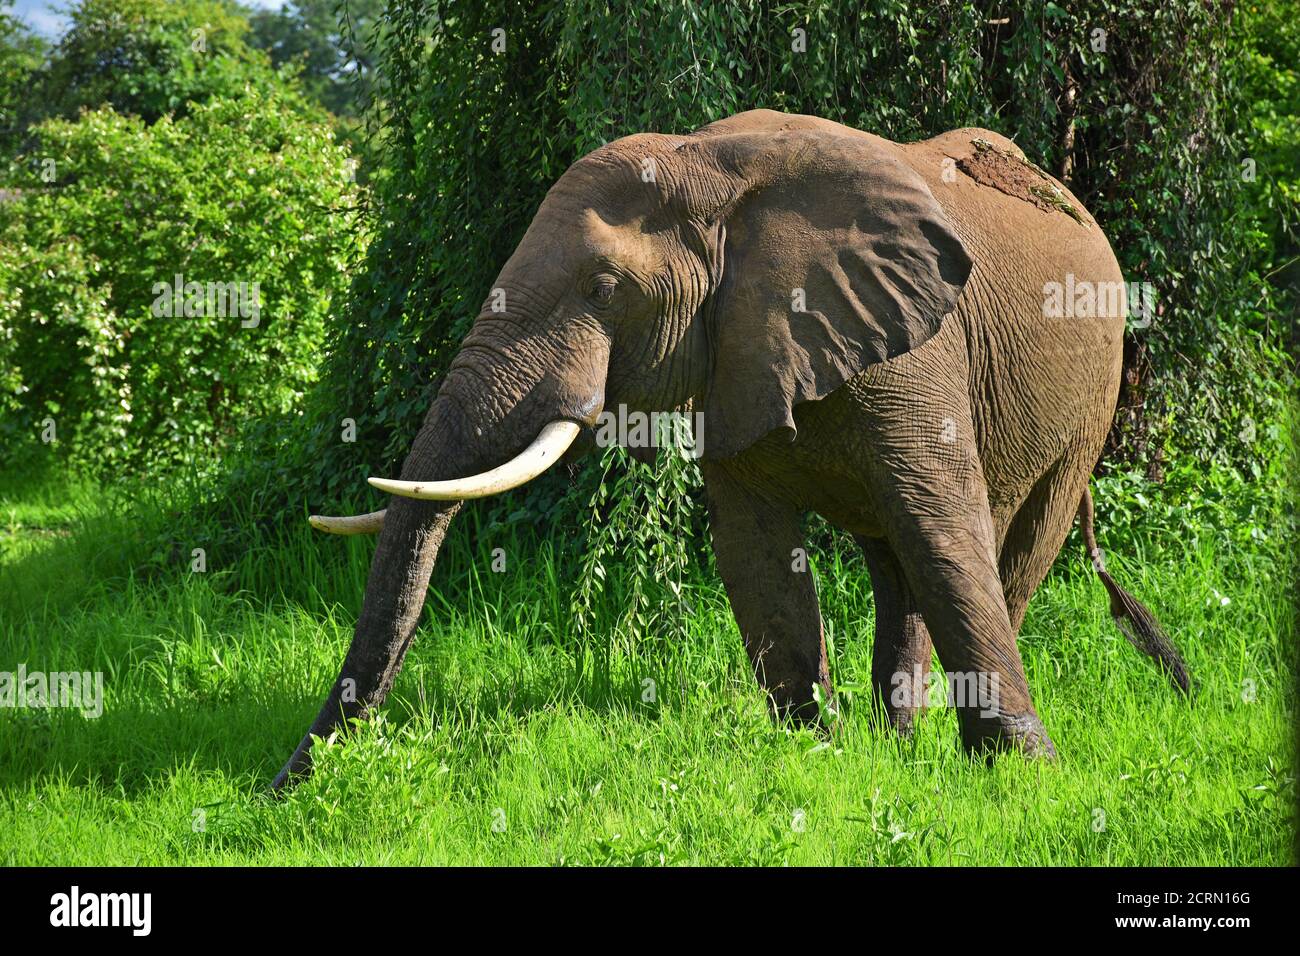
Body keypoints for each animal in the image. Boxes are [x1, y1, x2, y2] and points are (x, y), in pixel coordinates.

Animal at [273, 109, 1192, 790]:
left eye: (604, 288)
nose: (283, 785)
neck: (710, 166)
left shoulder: (918, 351)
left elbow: (944, 531)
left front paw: (1023, 779)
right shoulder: (736, 349)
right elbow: (753, 550)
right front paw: (815, 755)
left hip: (1094, 387)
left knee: (1010, 549)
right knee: (894, 557)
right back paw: (896, 743)